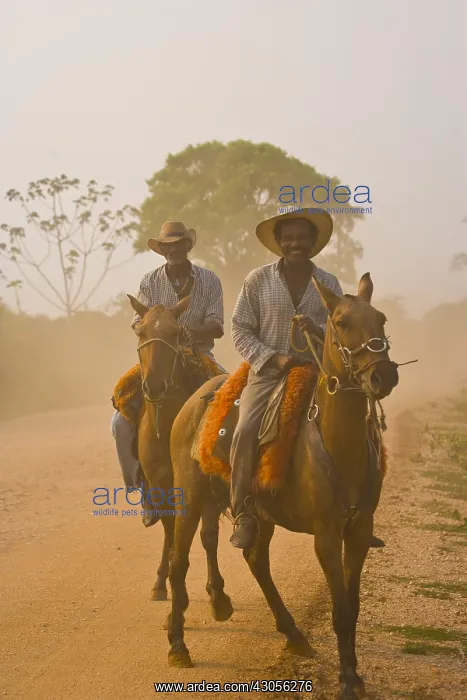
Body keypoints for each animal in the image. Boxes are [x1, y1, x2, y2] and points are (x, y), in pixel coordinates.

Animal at [126, 293, 232, 617]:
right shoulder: (161, 485)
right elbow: (171, 532)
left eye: (175, 333)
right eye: (140, 332)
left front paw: (217, 594)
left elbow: (208, 536)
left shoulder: (203, 486)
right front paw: (168, 588)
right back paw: (161, 583)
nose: (153, 386)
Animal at [166, 273, 400, 700]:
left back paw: (294, 634)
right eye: (341, 322)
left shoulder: (360, 530)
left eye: (381, 318)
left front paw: (355, 673)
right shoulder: (326, 534)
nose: (383, 376)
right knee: (178, 561)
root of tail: (195, 399)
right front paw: (346, 679)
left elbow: (353, 605)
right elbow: (340, 609)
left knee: (256, 559)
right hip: (188, 495)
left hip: (260, 513)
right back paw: (177, 644)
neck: (336, 442)